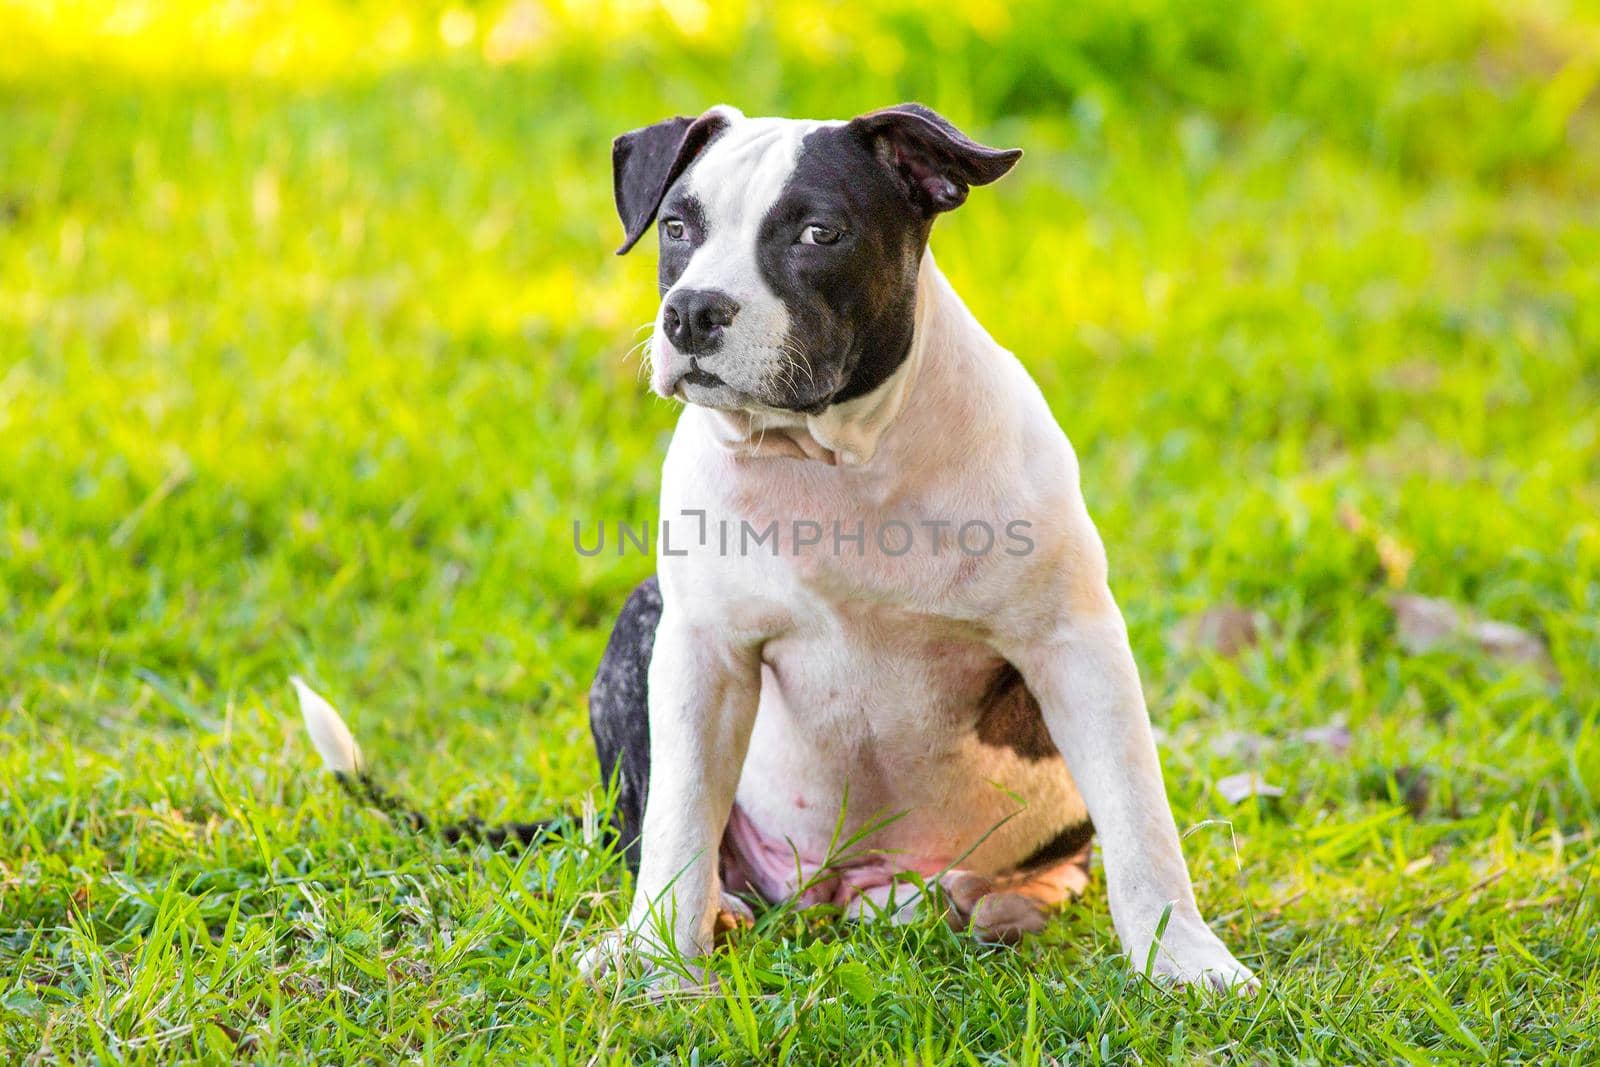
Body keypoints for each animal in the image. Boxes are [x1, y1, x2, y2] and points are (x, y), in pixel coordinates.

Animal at [294, 102, 1254, 991]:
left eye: (818, 232)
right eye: (677, 226)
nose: (691, 311)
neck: (836, 462)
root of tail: (836, 889)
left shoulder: (1075, 643)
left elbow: (1140, 823)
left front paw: (1187, 961)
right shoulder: (700, 652)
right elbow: (681, 816)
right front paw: (658, 959)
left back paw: (1000, 904)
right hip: (638, 629)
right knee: (654, 830)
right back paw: (710, 911)